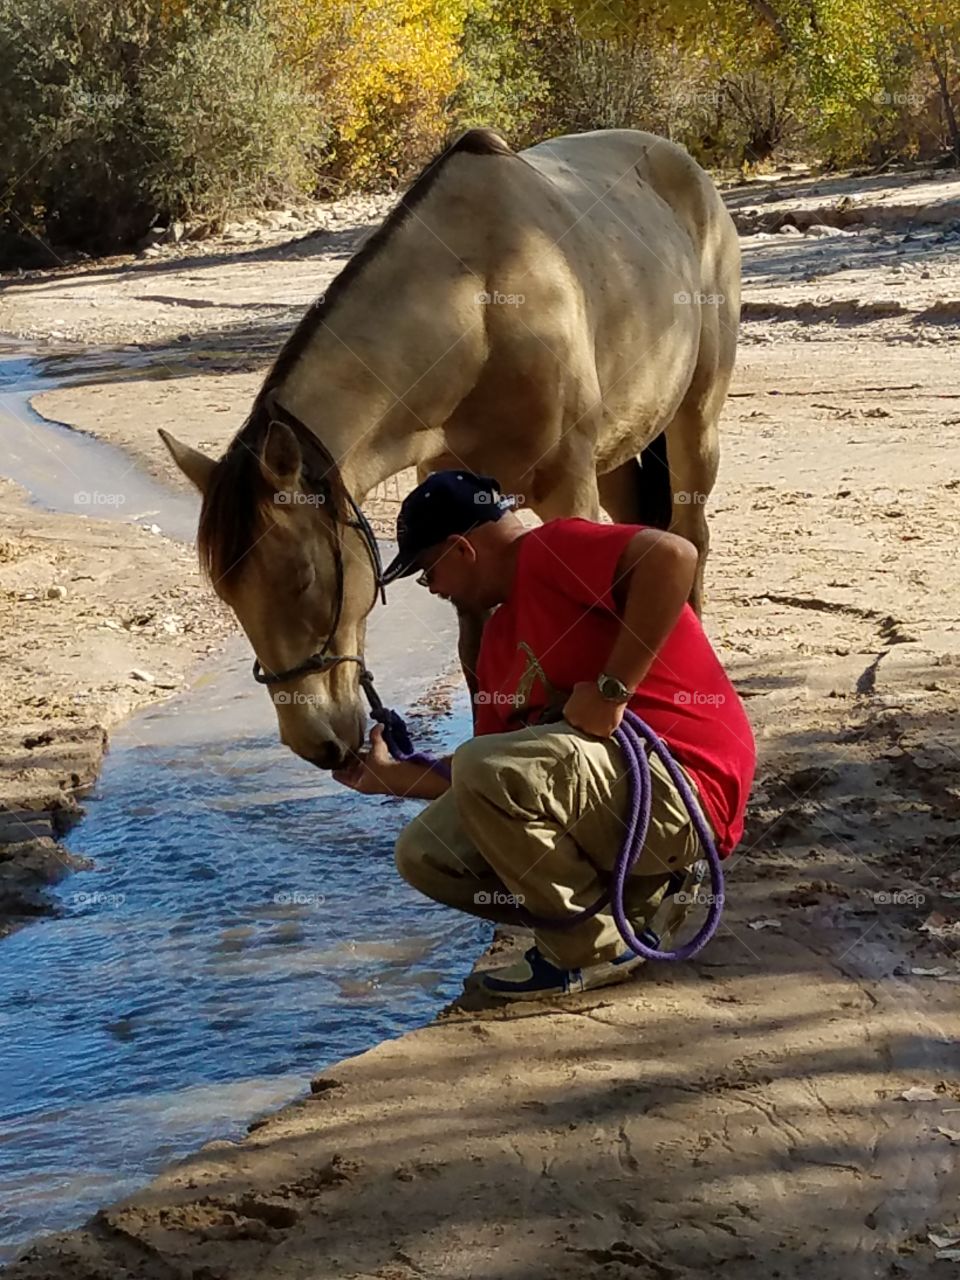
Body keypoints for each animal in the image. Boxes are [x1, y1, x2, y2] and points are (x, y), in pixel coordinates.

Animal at [161, 127, 742, 768]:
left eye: (305, 580)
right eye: (228, 593)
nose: (318, 746)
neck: (481, 307)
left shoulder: (569, 487)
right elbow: (473, 648)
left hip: (694, 421)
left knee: (691, 535)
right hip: (619, 449)